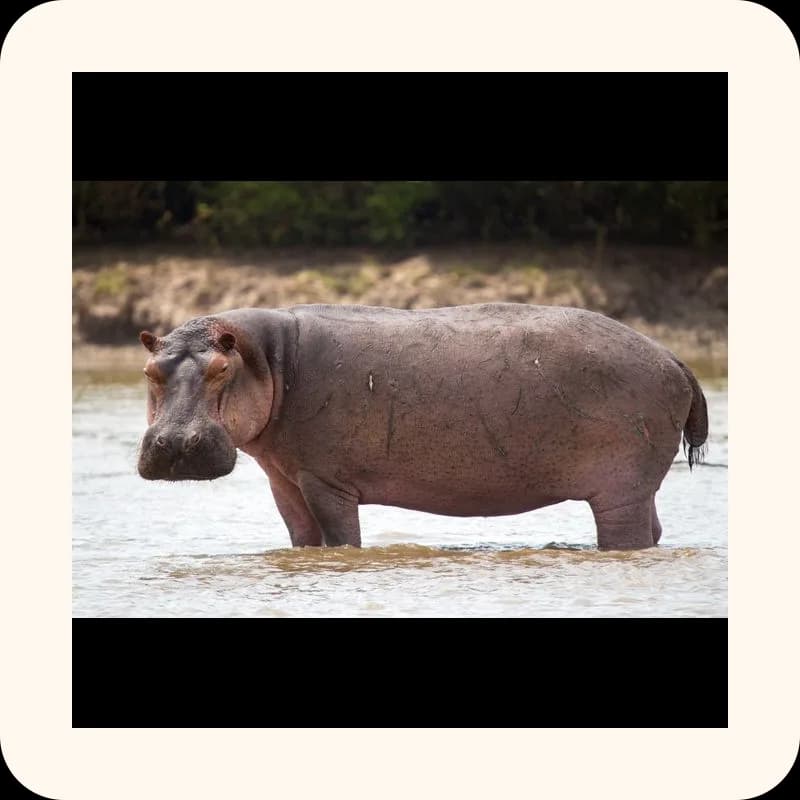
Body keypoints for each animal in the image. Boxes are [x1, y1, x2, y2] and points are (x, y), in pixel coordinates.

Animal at [137, 303, 708, 550]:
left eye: (220, 369)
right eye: (149, 370)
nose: (175, 444)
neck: (269, 359)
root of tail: (673, 357)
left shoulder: (326, 481)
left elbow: (341, 539)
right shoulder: (285, 479)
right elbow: (302, 539)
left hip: (620, 489)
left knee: (627, 534)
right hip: (638, 486)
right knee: (654, 530)